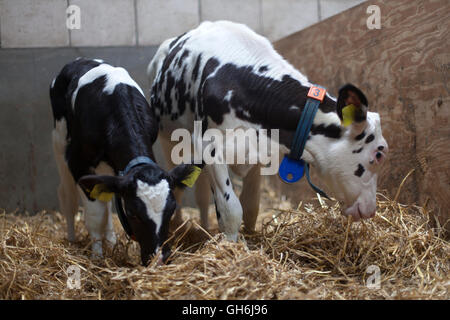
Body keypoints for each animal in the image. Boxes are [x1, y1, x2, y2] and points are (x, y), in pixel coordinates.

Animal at [50, 58, 195, 264]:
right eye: (133, 213)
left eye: (172, 209)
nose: (159, 258)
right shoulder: (78, 162)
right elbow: (95, 215)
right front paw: (97, 257)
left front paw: (108, 247)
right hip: (59, 141)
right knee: (66, 195)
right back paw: (72, 240)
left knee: (105, 199)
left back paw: (110, 241)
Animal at [147, 21, 386, 241]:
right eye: (379, 153)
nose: (371, 210)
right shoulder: (210, 147)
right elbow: (231, 209)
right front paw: (232, 246)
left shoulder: (261, 151)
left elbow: (251, 206)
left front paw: (251, 236)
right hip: (171, 141)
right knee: (179, 188)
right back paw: (177, 228)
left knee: (202, 194)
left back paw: (204, 228)